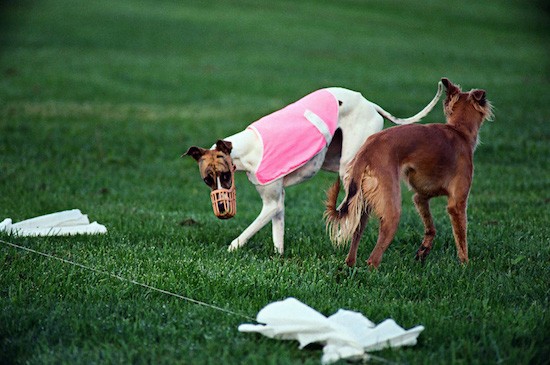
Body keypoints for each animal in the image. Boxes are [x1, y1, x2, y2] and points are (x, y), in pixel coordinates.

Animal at [185, 83, 444, 252]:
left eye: (225, 175)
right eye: (208, 180)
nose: (221, 207)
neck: (247, 147)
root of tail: (370, 104)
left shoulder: (271, 203)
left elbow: (248, 231)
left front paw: (232, 247)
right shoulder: (278, 202)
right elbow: (278, 235)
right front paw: (279, 258)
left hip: (348, 164)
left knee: (354, 204)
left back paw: (341, 236)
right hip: (333, 159)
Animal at [328, 78, 496, 268]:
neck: (459, 131)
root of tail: (366, 150)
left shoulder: (421, 197)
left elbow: (431, 228)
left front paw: (424, 250)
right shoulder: (457, 204)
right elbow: (461, 239)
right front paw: (465, 265)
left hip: (362, 204)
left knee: (354, 240)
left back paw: (350, 266)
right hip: (392, 210)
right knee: (373, 258)